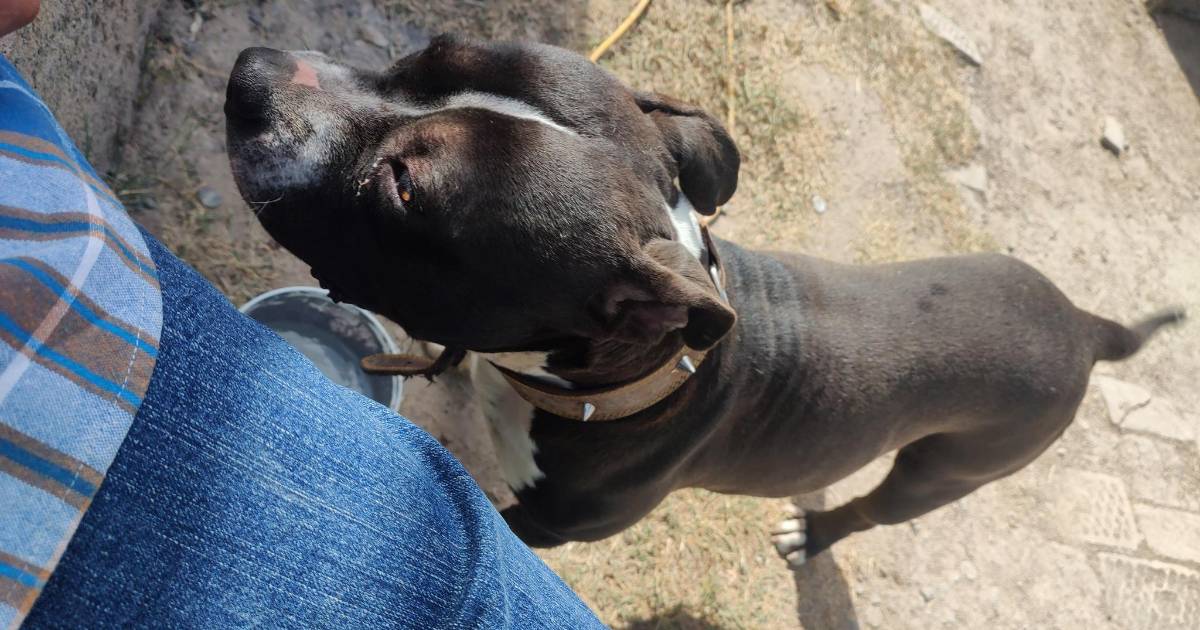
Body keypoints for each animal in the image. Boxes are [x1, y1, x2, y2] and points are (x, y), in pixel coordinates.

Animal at [223, 37, 1183, 564]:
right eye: (425, 52)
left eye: (404, 189)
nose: (251, 75)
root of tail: (1087, 327)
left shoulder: (540, 529)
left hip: (952, 466)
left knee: (881, 506)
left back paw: (816, 537)